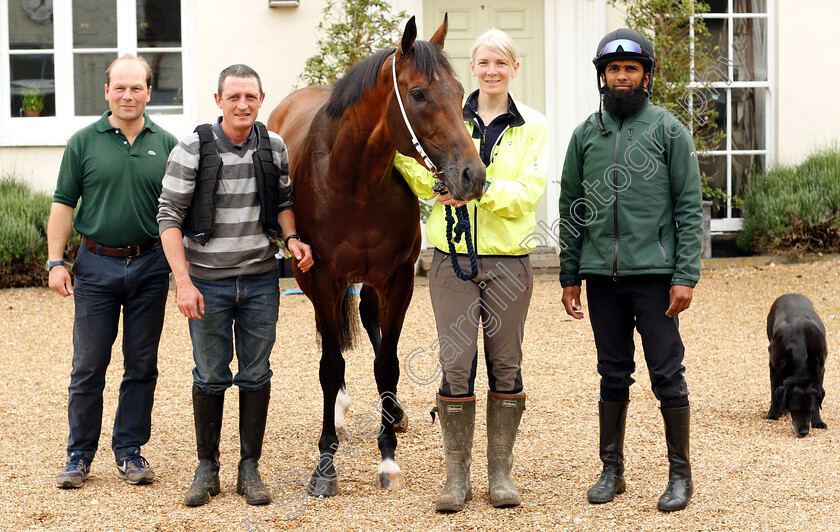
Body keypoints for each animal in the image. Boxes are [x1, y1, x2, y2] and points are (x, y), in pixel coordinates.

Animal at [270, 15, 486, 498]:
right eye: (419, 93)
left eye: (459, 91)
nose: (473, 176)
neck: (353, 182)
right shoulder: (322, 279)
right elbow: (330, 364)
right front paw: (325, 464)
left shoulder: (398, 279)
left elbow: (386, 362)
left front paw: (388, 457)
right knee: (331, 340)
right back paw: (337, 411)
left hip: (370, 282)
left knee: (369, 323)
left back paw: (394, 412)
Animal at [768, 296, 828, 436]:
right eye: (794, 410)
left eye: (810, 411)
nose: (804, 432)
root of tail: (790, 294)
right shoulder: (773, 367)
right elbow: (774, 393)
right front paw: (773, 415)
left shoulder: (821, 370)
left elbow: (818, 402)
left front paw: (817, 421)